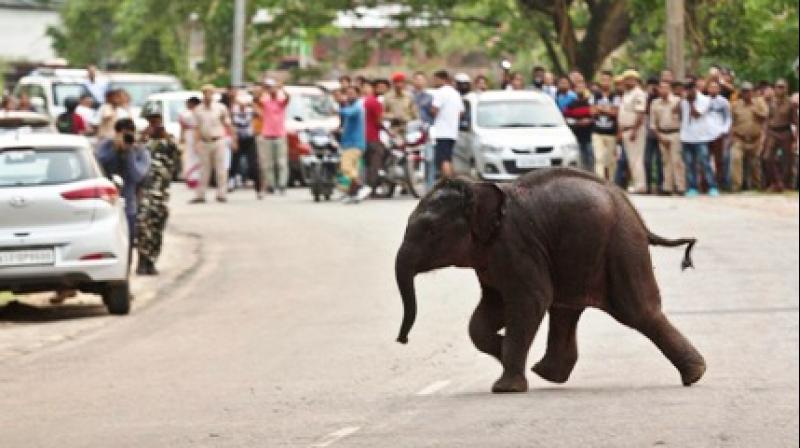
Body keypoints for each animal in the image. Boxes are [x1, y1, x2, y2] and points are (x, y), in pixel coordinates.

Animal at [394, 168, 706, 393]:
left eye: (430, 230)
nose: (402, 340)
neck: (478, 188)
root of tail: (635, 214)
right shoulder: (492, 256)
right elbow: (492, 309)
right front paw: (502, 350)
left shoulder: (515, 245)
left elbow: (530, 300)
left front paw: (505, 386)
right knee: (566, 310)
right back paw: (546, 373)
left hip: (620, 246)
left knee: (638, 311)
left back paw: (694, 375)